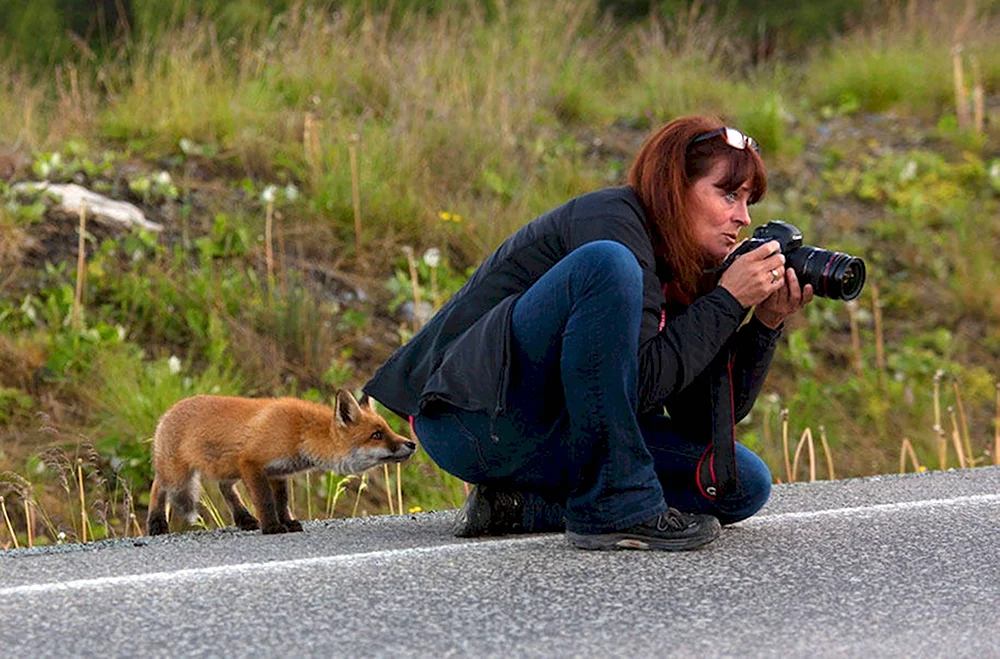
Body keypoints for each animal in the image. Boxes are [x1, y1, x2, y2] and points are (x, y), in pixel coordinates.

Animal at [146, 392, 416, 536]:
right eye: (376, 435)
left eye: (388, 429)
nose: (412, 444)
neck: (299, 433)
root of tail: (169, 410)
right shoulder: (252, 463)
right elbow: (265, 500)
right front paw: (272, 526)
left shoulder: (277, 472)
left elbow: (282, 501)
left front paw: (287, 521)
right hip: (178, 476)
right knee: (158, 487)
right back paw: (157, 523)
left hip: (226, 469)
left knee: (226, 489)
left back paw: (244, 519)